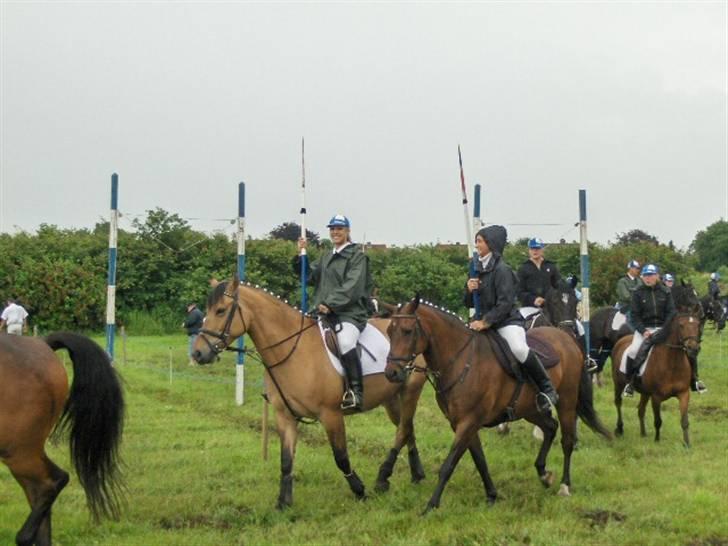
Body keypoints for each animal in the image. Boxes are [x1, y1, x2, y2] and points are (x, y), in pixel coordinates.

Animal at [193, 278, 430, 508]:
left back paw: (392, 477)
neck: (294, 350)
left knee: (404, 429)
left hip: (410, 392)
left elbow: (340, 456)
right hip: (391, 399)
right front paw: (284, 503)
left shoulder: (331, 415)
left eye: (221, 311)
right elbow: (286, 460)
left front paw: (359, 490)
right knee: (407, 428)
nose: (198, 353)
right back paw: (415, 474)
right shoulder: (285, 416)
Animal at [384, 296, 612, 512]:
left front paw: (431, 506)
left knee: (567, 440)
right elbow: (480, 460)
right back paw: (543, 473)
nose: (391, 373)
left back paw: (564, 485)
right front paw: (492, 495)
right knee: (550, 427)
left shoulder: (469, 421)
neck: (462, 360)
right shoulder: (462, 423)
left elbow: (448, 465)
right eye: (389, 331)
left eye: (407, 331)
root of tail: (567, 338)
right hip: (530, 409)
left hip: (566, 401)